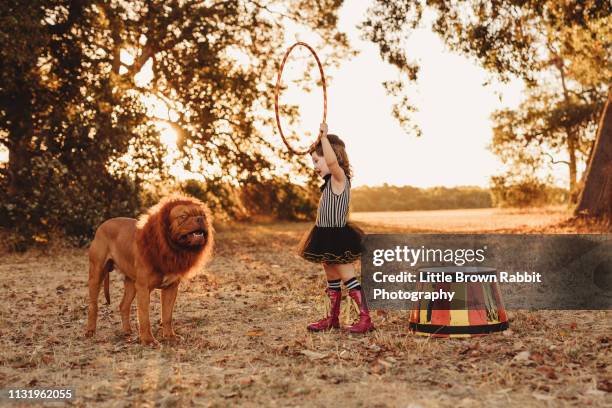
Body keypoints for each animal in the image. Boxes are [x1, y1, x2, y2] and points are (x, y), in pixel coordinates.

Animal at [83, 194, 213, 344]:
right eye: (183, 216)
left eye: (203, 215)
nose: (200, 219)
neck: (170, 248)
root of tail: (103, 225)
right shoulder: (144, 288)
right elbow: (145, 317)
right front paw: (148, 340)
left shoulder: (171, 287)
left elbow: (167, 315)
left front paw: (170, 336)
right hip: (97, 274)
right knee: (93, 305)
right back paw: (90, 331)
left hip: (131, 283)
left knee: (124, 305)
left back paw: (127, 331)